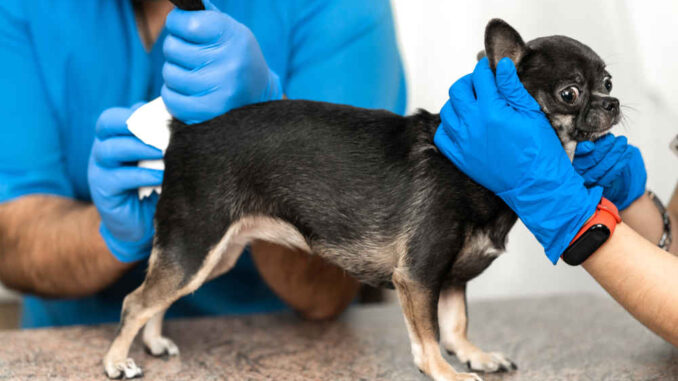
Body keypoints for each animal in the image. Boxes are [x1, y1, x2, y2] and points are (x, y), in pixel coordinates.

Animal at [102, 5, 620, 380]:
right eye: (570, 93)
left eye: (609, 81)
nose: (613, 101)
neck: (476, 169)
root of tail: (184, 132)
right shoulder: (418, 277)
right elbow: (430, 337)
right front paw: (445, 372)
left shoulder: (451, 279)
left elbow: (456, 324)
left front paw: (475, 354)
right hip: (195, 246)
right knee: (136, 301)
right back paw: (115, 361)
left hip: (213, 254)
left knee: (156, 297)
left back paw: (153, 342)